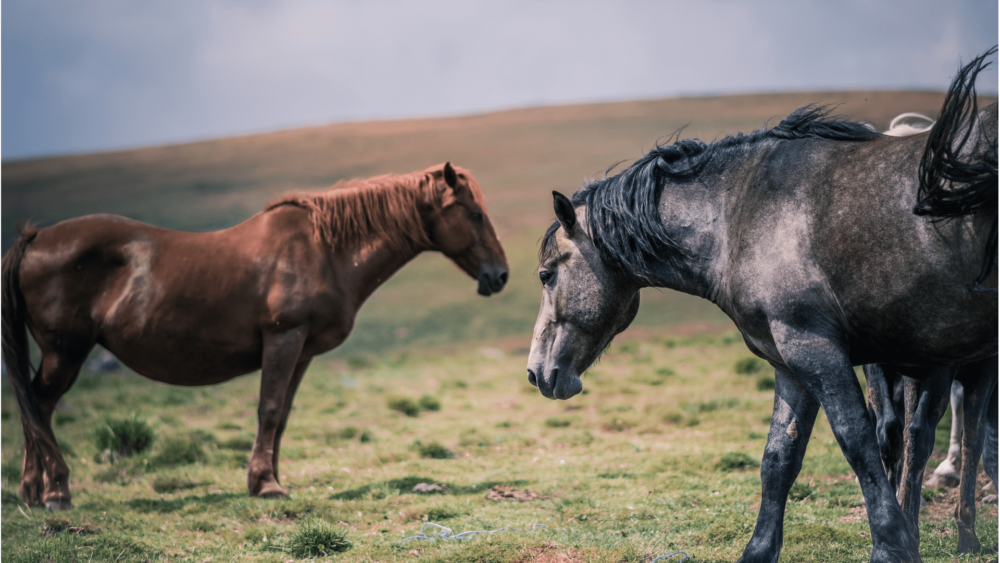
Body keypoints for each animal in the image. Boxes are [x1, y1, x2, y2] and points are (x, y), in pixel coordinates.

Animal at [0, 161, 508, 508]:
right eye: (473, 213)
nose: (500, 275)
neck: (324, 249)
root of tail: (36, 238)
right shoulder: (283, 339)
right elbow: (268, 409)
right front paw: (265, 484)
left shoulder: (302, 351)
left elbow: (281, 415)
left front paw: (270, 478)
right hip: (66, 352)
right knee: (39, 407)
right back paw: (56, 492)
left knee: (34, 407)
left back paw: (31, 492)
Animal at [528, 48, 996, 563]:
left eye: (546, 275)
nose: (536, 372)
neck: (740, 214)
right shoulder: (790, 362)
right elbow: (779, 459)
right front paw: (758, 550)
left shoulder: (814, 348)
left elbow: (857, 442)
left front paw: (893, 545)